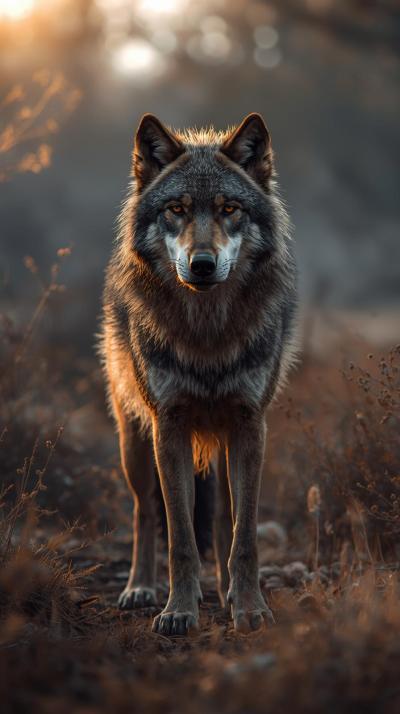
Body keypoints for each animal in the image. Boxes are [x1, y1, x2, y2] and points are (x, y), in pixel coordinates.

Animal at [100, 112, 297, 635]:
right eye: (176, 209)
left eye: (229, 208)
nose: (202, 264)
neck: (207, 333)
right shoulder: (168, 426)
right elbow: (181, 539)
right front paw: (178, 611)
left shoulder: (250, 424)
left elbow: (244, 536)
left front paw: (249, 609)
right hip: (133, 442)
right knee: (144, 511)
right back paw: (140, 587)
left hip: (228, 442)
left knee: (227, 515)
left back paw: (227, 592)